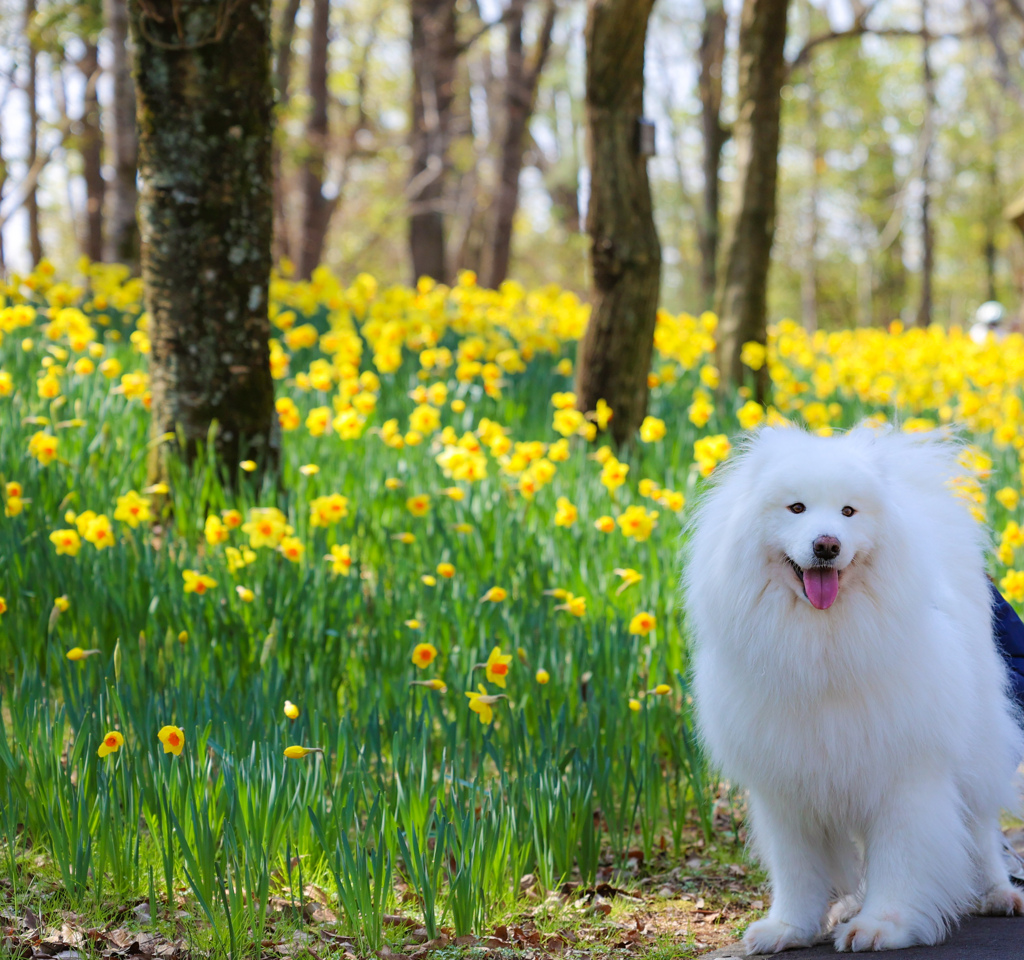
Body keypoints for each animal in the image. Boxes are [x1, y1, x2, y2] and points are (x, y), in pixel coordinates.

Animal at [684, 425, 1024, 949]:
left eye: (848, 512)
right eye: (797, 508)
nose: (826, 545)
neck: (823, 646)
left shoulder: (904, 772)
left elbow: (901, 859)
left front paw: (881, 926)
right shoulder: (787, 781)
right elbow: (798, 868)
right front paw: (790, 928)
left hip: (978, 742)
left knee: (980, 826)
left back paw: (997, 893)